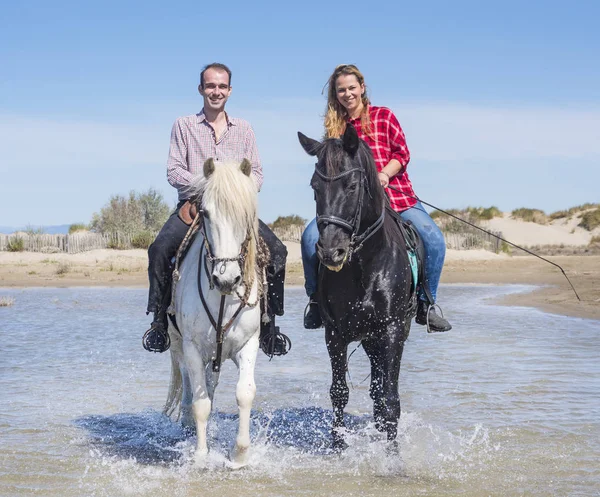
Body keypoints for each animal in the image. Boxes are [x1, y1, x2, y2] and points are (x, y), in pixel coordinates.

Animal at [163, 158, 262, 464]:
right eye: (205, 212)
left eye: (247, 213)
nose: (226, 279)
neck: (222, 299)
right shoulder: (193, 348)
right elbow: (200, 403)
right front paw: (201, 455)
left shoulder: (248, 344)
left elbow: (245, 393)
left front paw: (239, 454)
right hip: (178, 344)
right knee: (188, 385)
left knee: (212, 382)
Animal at [298, 124, 414, 450]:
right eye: (315, 187)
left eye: (351, 186)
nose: (330, 251)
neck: (365, 265)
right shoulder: (335, 334)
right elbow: (339, 392)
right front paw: (338, 447)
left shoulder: (392, 330)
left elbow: (391, 398)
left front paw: (392, 454)